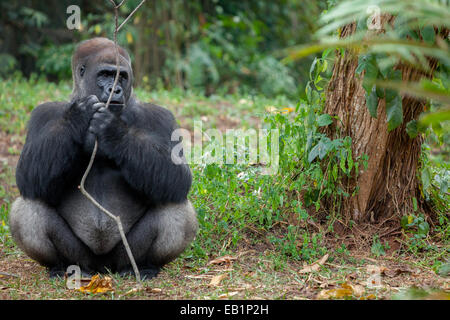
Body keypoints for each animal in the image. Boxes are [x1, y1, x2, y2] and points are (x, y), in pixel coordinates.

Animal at [8, 37, 198, 278]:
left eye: (122, 76)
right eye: (105, 74)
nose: (115, 89)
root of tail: (103, 268)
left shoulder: (161, 116)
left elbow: (178, 177)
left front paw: (113, 131)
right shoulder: (42, 114)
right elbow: (27, 174)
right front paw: (78, 116)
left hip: (123, 256)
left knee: (174, 205)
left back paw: (145, 266)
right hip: (83, 258)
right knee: (29, 206)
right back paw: (62, 267)